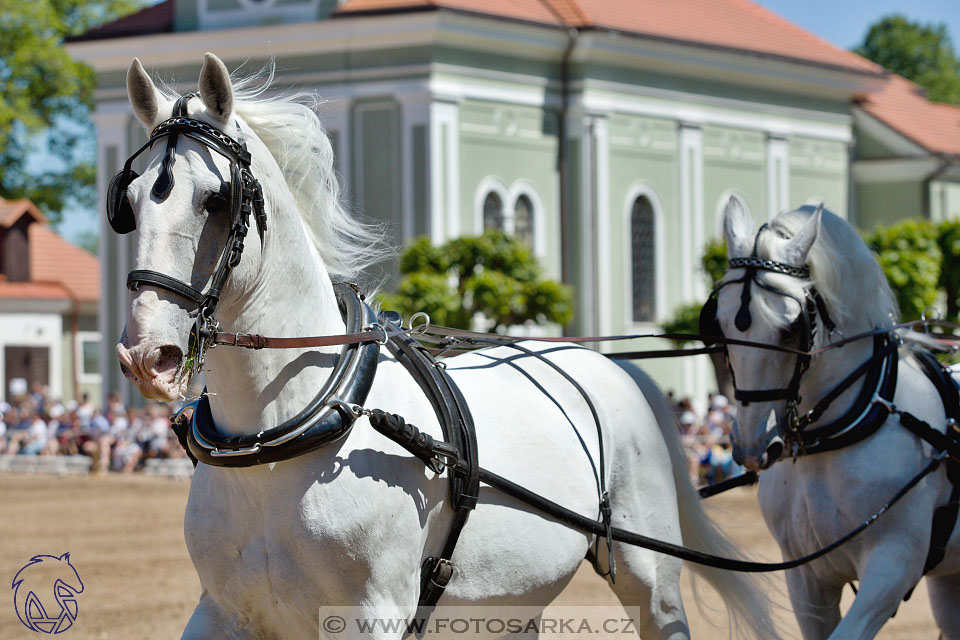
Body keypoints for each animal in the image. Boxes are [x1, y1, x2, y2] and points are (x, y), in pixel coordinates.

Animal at [114, 55, 772, 640]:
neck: (275, 442)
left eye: (216, 199)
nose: (149, 356)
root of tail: (617, 371)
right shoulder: (223, 611)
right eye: (131, 202)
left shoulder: (371, 617)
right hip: (510, 601)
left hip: (648, 577)